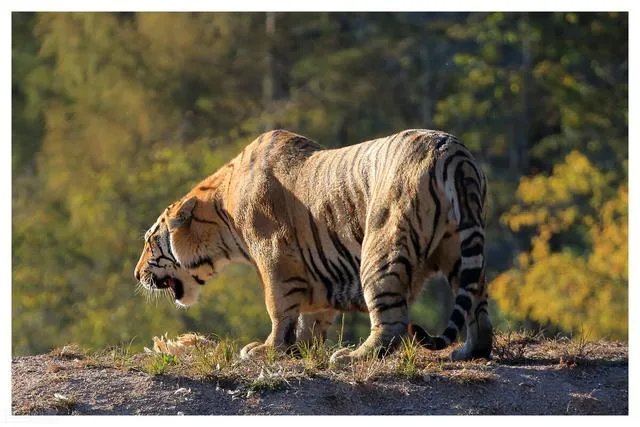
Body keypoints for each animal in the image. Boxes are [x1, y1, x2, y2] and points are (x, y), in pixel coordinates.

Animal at [134, 129, 493, 363]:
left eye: (150, 242)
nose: (136, 275)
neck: (223, 210)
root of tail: (452, 153)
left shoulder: (274, 258)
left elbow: (278, 307)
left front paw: (267, 350)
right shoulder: (316, 268)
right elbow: (311, 313)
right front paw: (302, 349)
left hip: (381, 249)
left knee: (392, 320)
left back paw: (352, 356)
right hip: (459, 249)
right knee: (477, 303)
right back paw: (471, 351)